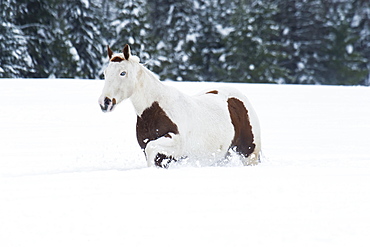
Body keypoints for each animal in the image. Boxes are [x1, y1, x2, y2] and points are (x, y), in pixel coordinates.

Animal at [98, 44, 260, 168]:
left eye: (122, 73)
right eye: (106, 73)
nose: (105, 102)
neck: (154, 111)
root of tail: (238, 99)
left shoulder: (175, 146)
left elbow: (151, 148)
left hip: (249, 154)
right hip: (220, 157)